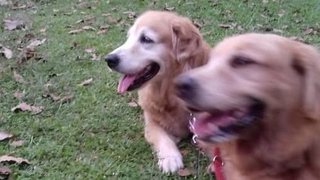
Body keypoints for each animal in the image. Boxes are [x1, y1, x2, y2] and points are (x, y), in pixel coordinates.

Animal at [104, 10, 210, 172]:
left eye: (146, 39)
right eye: (129, 37)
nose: (109, 59)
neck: (169, 93)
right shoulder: (151, 122)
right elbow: (162, 137)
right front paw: (170, 157)